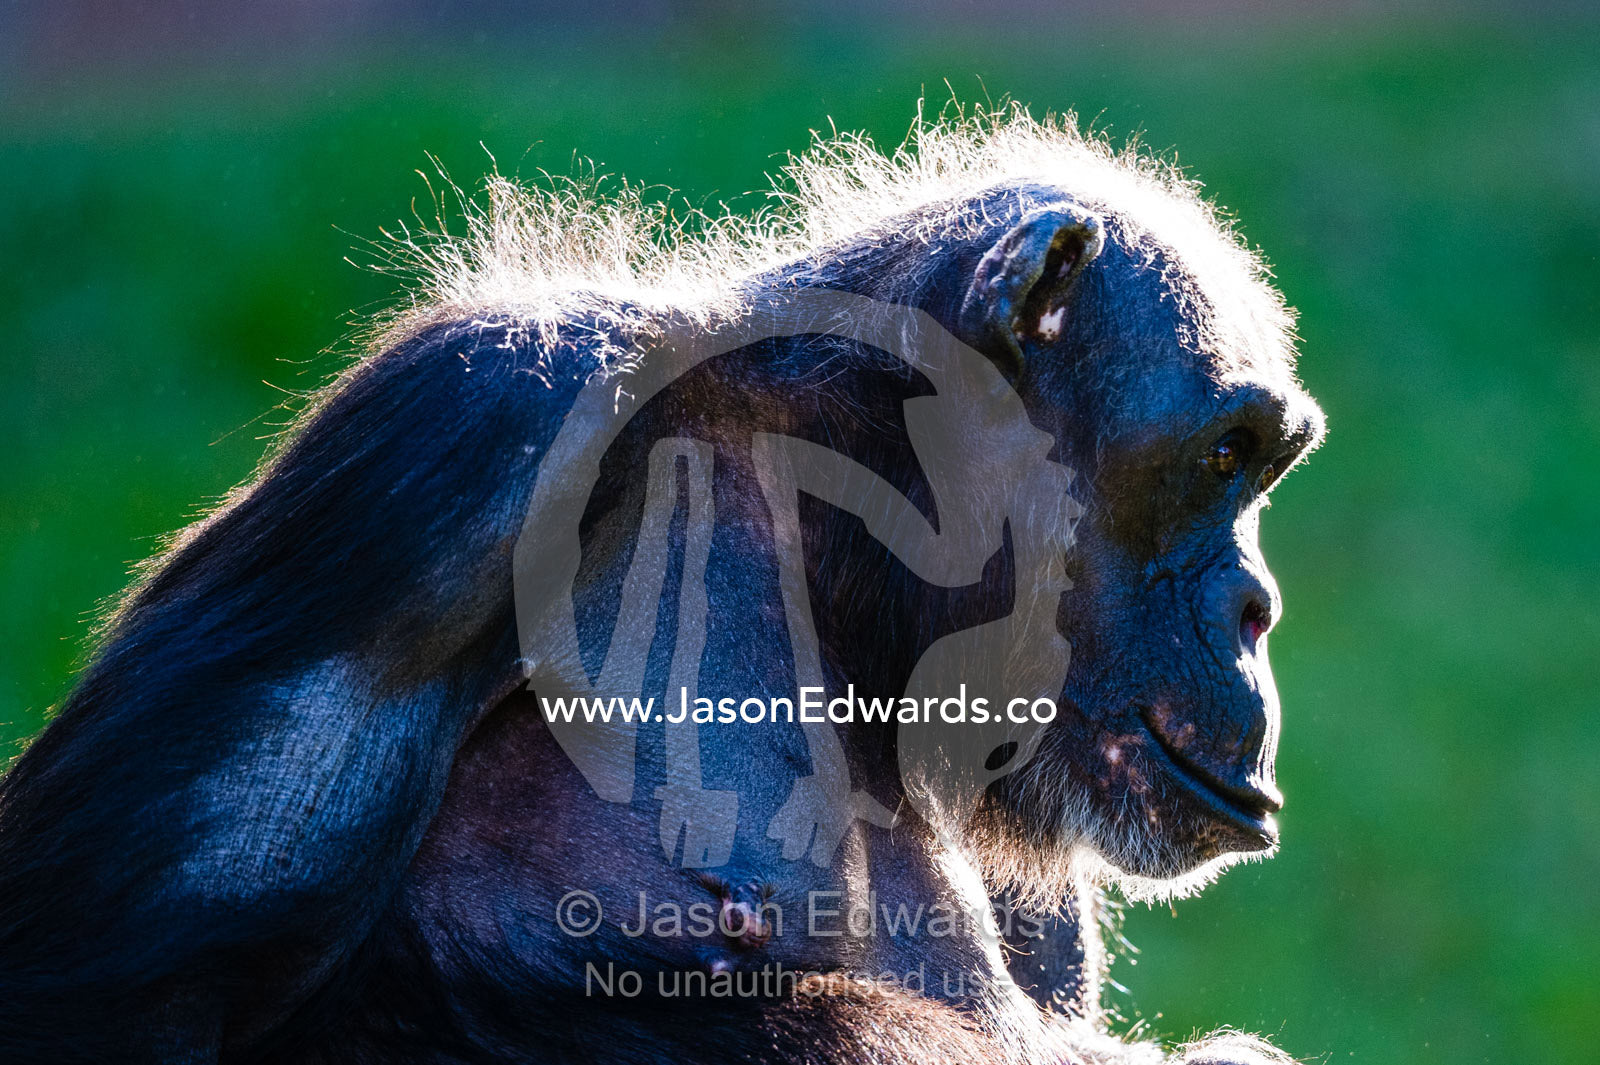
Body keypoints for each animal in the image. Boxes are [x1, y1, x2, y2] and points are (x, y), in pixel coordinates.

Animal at [0, 104, 1325, 1064]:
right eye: (1222, 457)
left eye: (1265, 465)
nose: (1254, 607)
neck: (841, 534)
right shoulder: (469, 427)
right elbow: (119, 997)